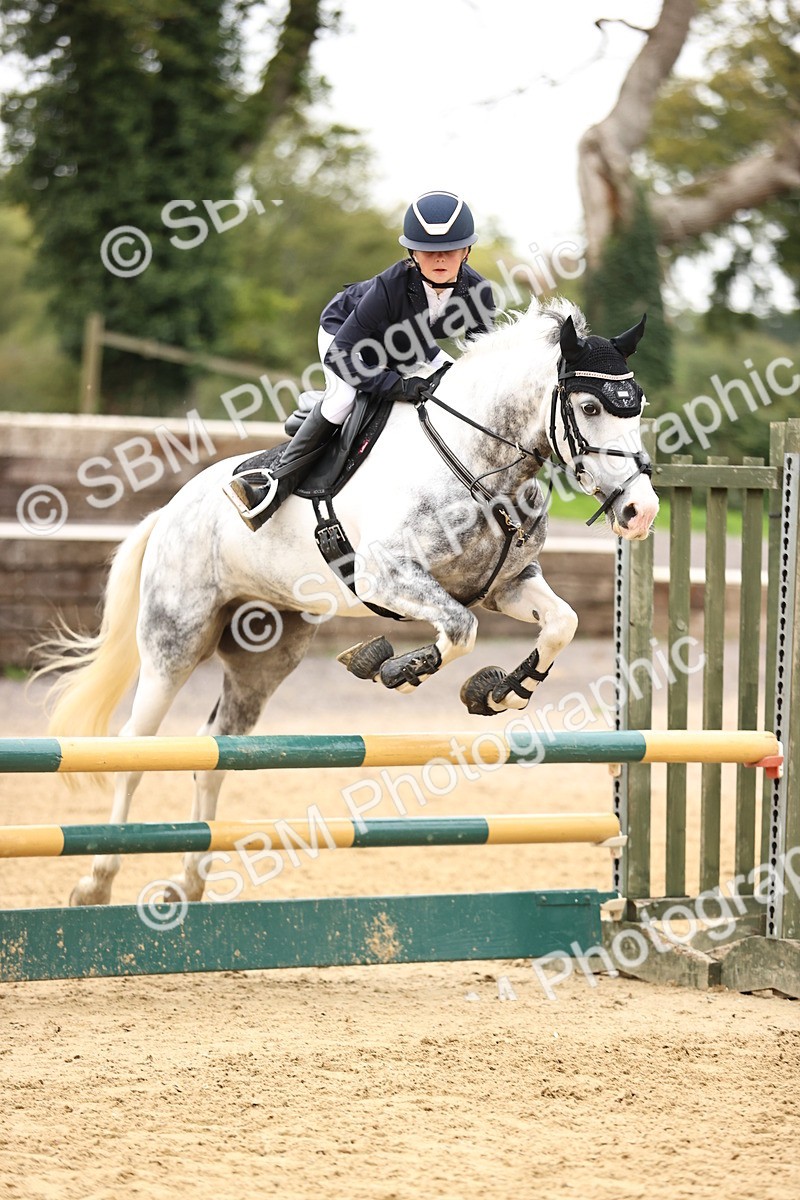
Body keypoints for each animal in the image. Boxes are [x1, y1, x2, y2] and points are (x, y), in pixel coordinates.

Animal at [40, 297, 659, 906]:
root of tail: (169, 509)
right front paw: (396, 667)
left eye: (638, 408)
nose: (642, 512)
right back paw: (96, 882)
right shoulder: (386, 577)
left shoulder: (506, 585)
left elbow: (560, 622)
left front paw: (502, 691)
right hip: (175, 643)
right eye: (590, 406)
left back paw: (190, 883)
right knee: (135, 752)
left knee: (215, 754)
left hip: (266, 655)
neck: (479, 459)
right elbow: (459, 630)